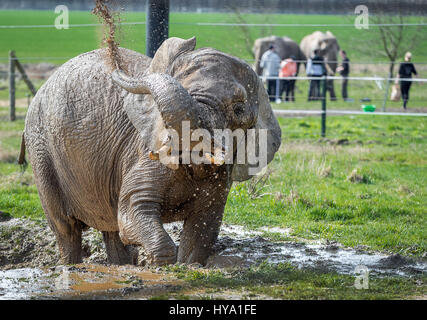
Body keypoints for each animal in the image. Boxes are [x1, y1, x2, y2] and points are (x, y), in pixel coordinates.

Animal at [20, 37, 282, 268]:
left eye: (238, 110)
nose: (115, 64)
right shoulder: (144, 150)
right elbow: (133, 210)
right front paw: (161, 265)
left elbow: (202, 230)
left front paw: (187, 266)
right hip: (41, 149)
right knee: (66, 228)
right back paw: (71, 266)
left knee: (110, 228)